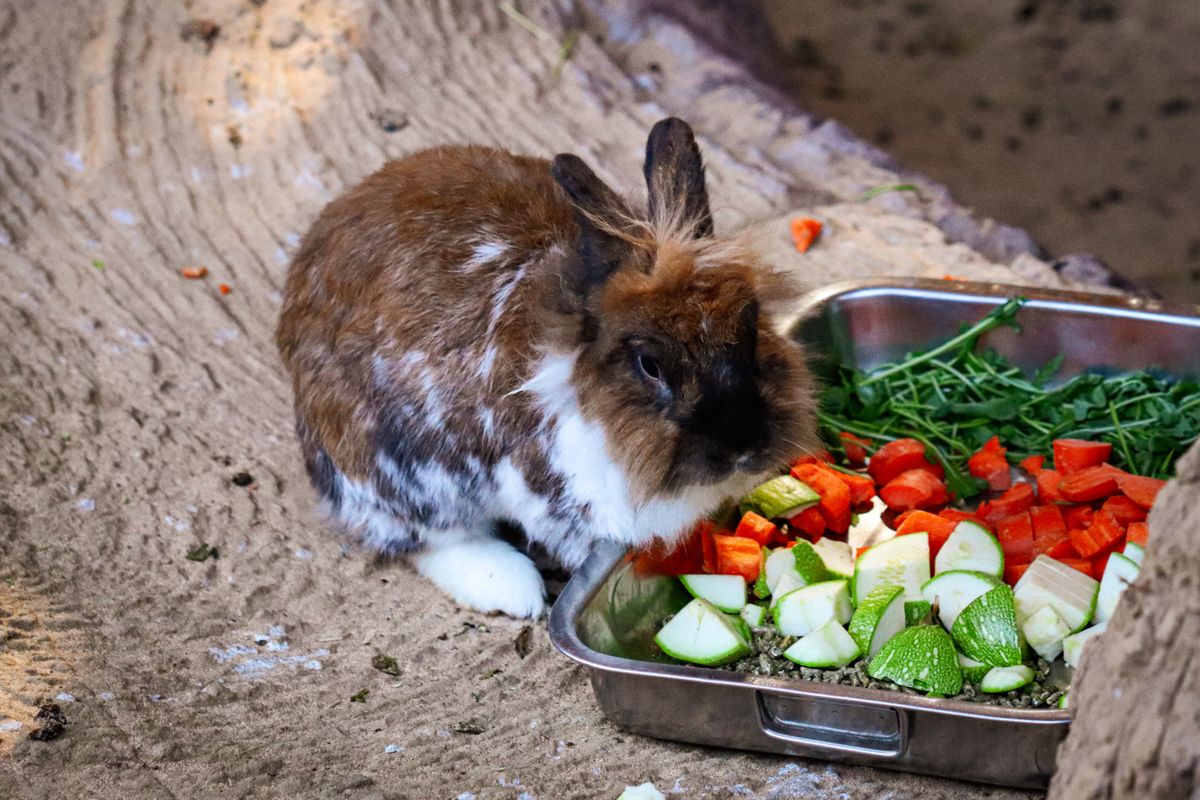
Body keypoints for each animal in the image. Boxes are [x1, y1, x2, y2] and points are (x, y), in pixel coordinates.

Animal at [276, 118, 820, 619]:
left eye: (751, 328)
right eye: (650, 364)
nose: (742, 447)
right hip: (401, 471)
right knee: (426, 538)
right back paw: (514, 591)